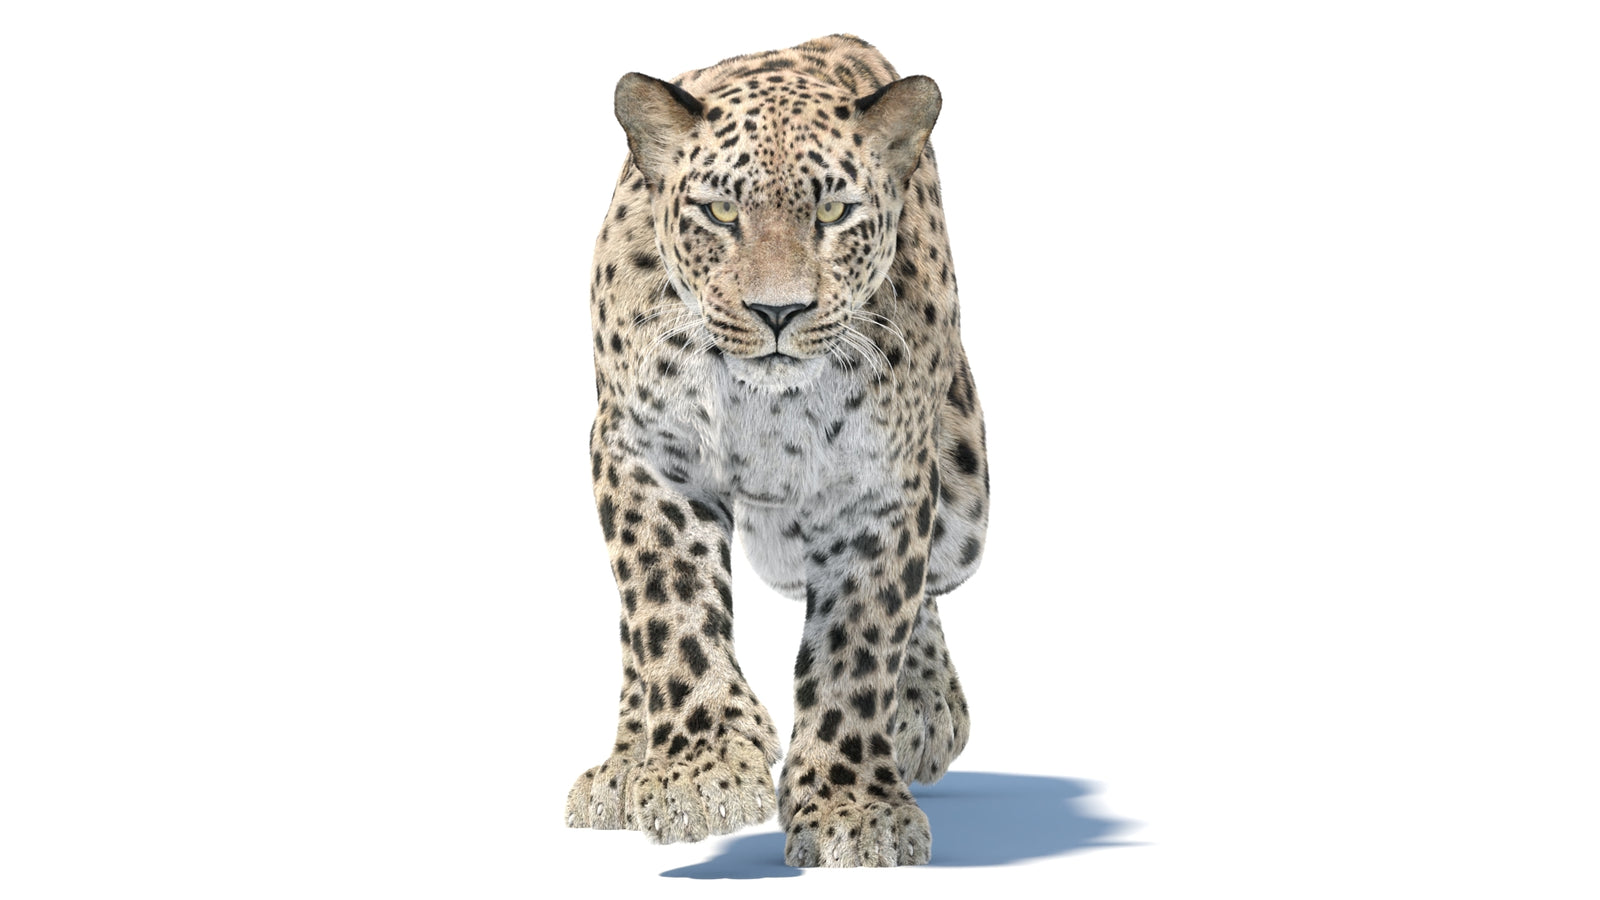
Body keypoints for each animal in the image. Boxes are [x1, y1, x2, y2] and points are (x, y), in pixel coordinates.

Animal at [563, 34, 989, 868]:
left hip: (965, 501)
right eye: (720, 211)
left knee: (931, 583)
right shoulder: (641, 449)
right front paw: (699, 769)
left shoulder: (882, 483)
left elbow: (862, 643)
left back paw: (924, 710)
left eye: (833, 212)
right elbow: (668, 607)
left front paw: (853, 807)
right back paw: (627, 761)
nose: (778, 312)